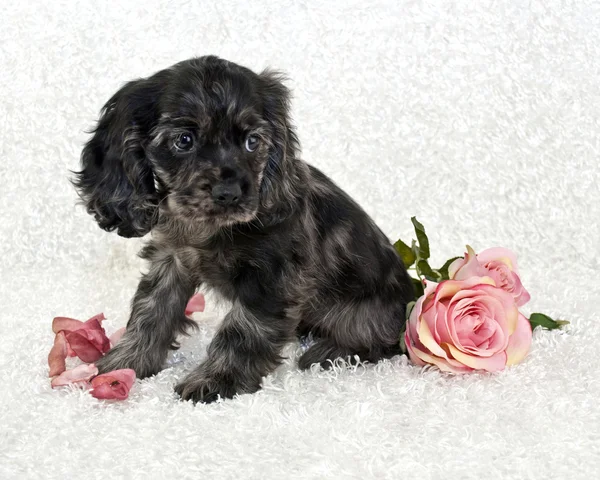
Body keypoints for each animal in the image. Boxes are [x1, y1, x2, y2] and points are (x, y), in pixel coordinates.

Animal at [74, 55, 412, 402]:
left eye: (253, 142)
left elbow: (242, 330)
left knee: (379, 343)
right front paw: (123, 362)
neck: (211, 228)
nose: (230, 192)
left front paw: (216, 379)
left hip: (364, 316)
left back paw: (329, 352)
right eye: (184, 140)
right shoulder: (171, 260)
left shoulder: (271, 279)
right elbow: (150, 311)